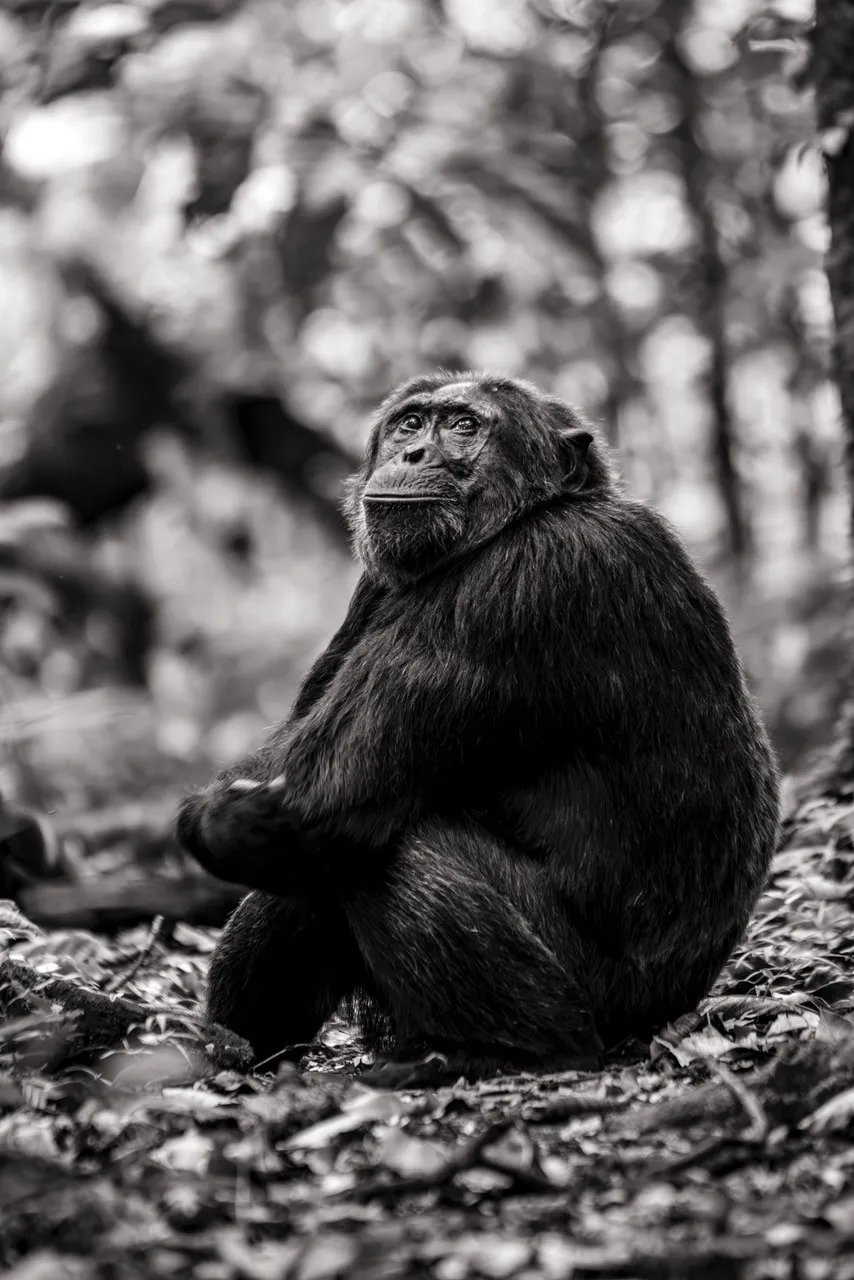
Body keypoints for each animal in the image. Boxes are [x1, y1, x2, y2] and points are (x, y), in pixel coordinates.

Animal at [176, 371, 781, 1078]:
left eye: (464, 426)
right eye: (410, 423)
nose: (412, 453)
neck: (516, 523)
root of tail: (672, 1012)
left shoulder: (531, 577)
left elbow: (324, 790)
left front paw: (221, 821)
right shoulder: (373, 589)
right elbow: (295, 753)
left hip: (604, 995)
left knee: (399, 846)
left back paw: (506, 1049)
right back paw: (235, 1047)